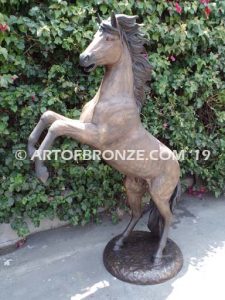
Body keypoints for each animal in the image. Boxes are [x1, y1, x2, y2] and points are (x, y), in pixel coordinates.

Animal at [28, 12, 180, 264]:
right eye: (94, 35)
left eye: (109, 38)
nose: (84, 58)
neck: (113, 100)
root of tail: (178, 168)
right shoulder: (83, 124)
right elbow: (49, 115)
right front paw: (30, 150)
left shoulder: (95, 136)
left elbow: (58, 126)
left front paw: (41, 173)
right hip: (133, 186)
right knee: (137, 212)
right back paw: (120, 244)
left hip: (160, 194)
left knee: (168, 218)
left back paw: (157, 256)